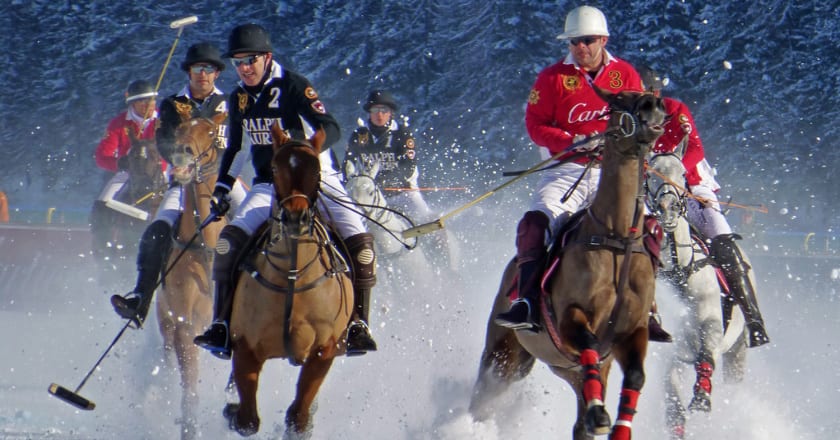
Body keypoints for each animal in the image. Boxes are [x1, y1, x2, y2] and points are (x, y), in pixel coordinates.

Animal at [221, 124, 352, 436]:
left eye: (316, 169)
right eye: (274, 168)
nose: (296, 217)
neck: (293, 274)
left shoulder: (323, 352)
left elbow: (298, 418)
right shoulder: (245, 348)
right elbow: (247, 421)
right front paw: (232, 411)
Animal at [470, 89, 668, 440]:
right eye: (617, 101)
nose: (653, 105)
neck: (615, 238)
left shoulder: (633, 331)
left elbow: (636, 376)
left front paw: (616, 428)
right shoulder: (570, 319)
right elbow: (588, 339)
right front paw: (600, 415)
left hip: (567, 367)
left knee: (581, 418)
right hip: (504, 354)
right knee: (484, 392)